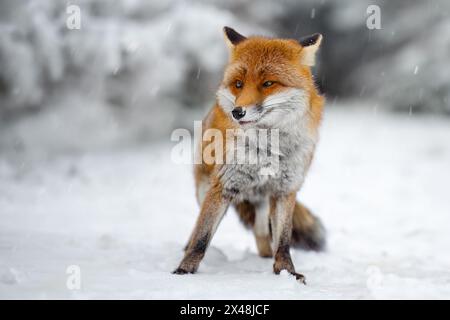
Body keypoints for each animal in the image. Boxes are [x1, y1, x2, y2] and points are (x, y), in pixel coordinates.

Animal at [173, 26, 326, 282]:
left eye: (268, 83)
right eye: (238, 84)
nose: (237, 112)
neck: (267, 149)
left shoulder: (285, 189)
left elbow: (283, 241)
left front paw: (286, 272)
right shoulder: (223, 184)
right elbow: (202, 237)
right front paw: (183, 271)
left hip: (264, 205)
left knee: (263, 237)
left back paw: (265, 257)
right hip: (203, 189)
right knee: (197, 228)